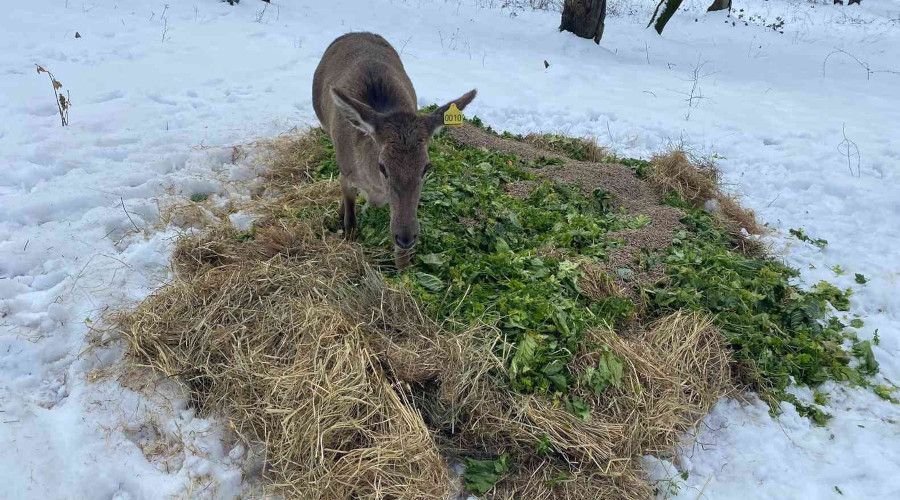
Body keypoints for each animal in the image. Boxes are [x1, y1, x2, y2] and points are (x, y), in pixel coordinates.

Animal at [312, 31, 474, 268]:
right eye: (383, 166)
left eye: (426, 167)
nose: (406, 237)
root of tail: (357, 32)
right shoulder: (346, 173)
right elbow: (350, 215)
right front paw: (346, 230)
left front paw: (404, 268)